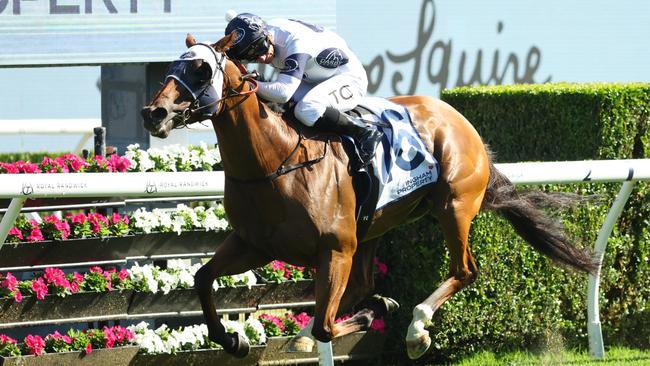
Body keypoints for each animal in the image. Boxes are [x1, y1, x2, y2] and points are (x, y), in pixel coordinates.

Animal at [139, 34, 596, 360]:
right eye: (170, 66)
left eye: (201, 69)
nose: (153, 113)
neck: (273, 161)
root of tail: (459, 119)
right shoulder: (254, 244)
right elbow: (202, 278)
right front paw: (234, 340)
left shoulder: (335, 248)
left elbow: (328, 323)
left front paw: (377, 312)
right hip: (374, 226)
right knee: (361, 284)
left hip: (454, 205)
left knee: (464, 270)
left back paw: (415, 328)